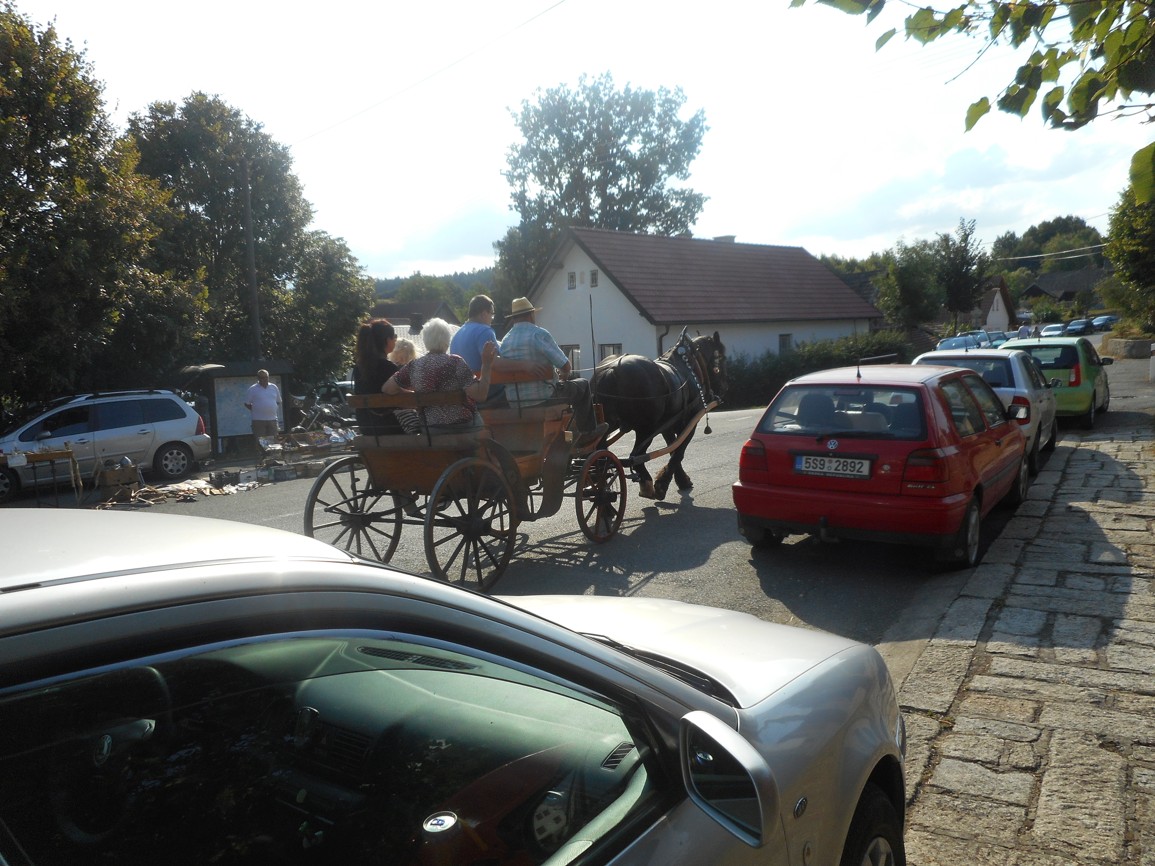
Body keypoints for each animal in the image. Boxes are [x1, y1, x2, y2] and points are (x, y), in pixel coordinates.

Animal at [592, 330, 727, 500]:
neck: (689, 367)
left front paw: (680, 479)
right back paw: (645, 483)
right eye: (723, 358)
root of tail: (612, 369)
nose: (723, 388)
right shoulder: (689, 423)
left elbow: (673, 449)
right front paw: (664, 484)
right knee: (636, 457)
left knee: (599, 456)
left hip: (608, 425)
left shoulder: (667, 426)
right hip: (645, 429)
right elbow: (678, 452)